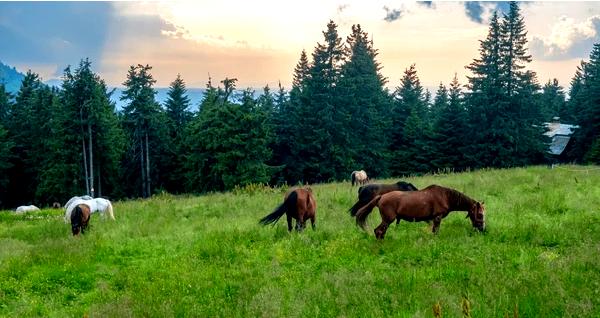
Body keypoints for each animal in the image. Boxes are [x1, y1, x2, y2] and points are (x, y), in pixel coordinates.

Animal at [354, 185, 486, 240]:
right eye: (480, 214)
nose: (483, 229)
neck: (446, 196)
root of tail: (381, 197)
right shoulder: (437, 218)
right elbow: (435, 232)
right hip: (387, 219)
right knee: (378, 231)